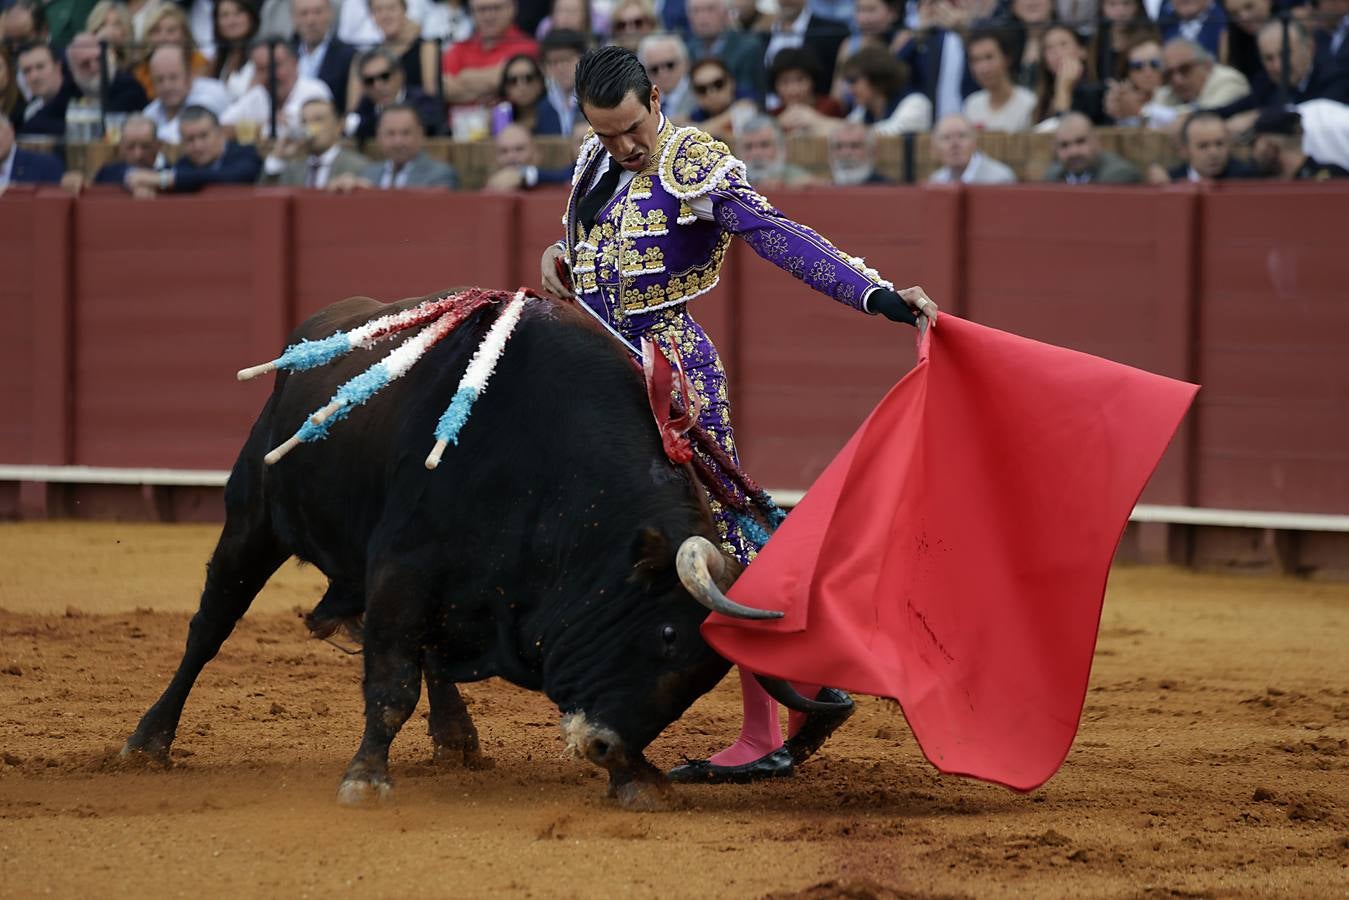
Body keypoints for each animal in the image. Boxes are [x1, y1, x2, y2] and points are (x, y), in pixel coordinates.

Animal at [121, 294, 798, 809]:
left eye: (707, 676)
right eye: (666, 635)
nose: (605, 747)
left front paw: (636, 780)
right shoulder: (402, 568)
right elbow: (392, 683)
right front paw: (365, 779)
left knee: (432, 655)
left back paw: (456, 738)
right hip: (252, 522)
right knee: (210, 627)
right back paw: (148, 742)